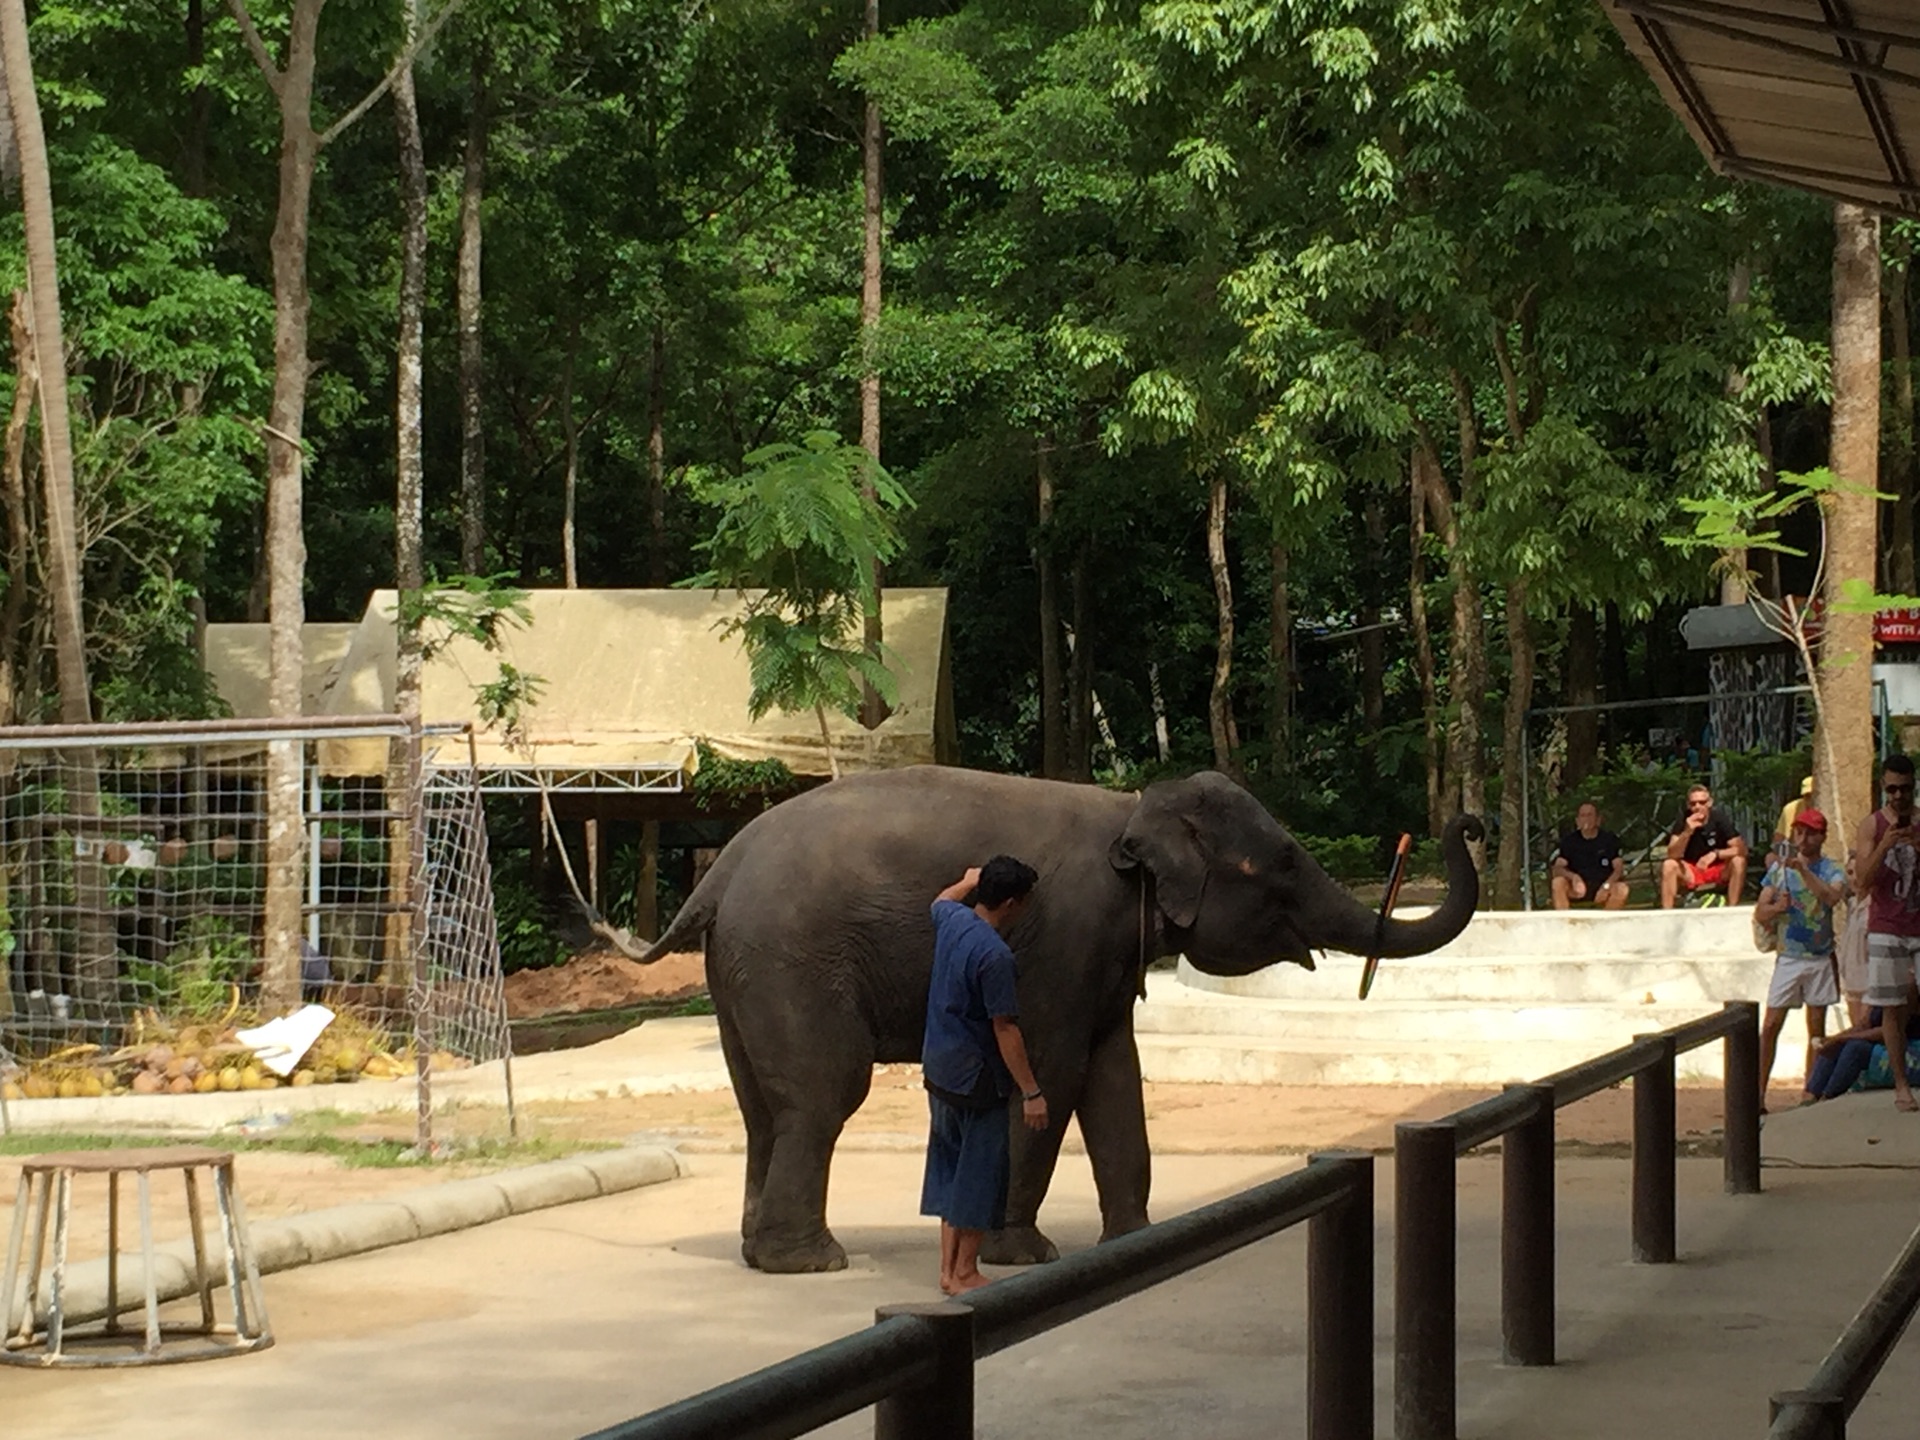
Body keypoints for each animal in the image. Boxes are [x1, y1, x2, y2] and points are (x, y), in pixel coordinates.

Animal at [629, 768, 1482, 1274]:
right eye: (1283, 864)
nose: (1468, 823)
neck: (1133, 812)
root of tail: (717, 877)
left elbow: (1115, 1075)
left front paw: (1138, 1241)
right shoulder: (1065, 937)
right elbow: (1056, 1069)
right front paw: (1028, 1256)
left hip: (743, 971)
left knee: (761, 1109)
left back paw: (762, 1254)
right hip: (791, 962)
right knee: (821, 1097)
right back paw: (813, 1263)